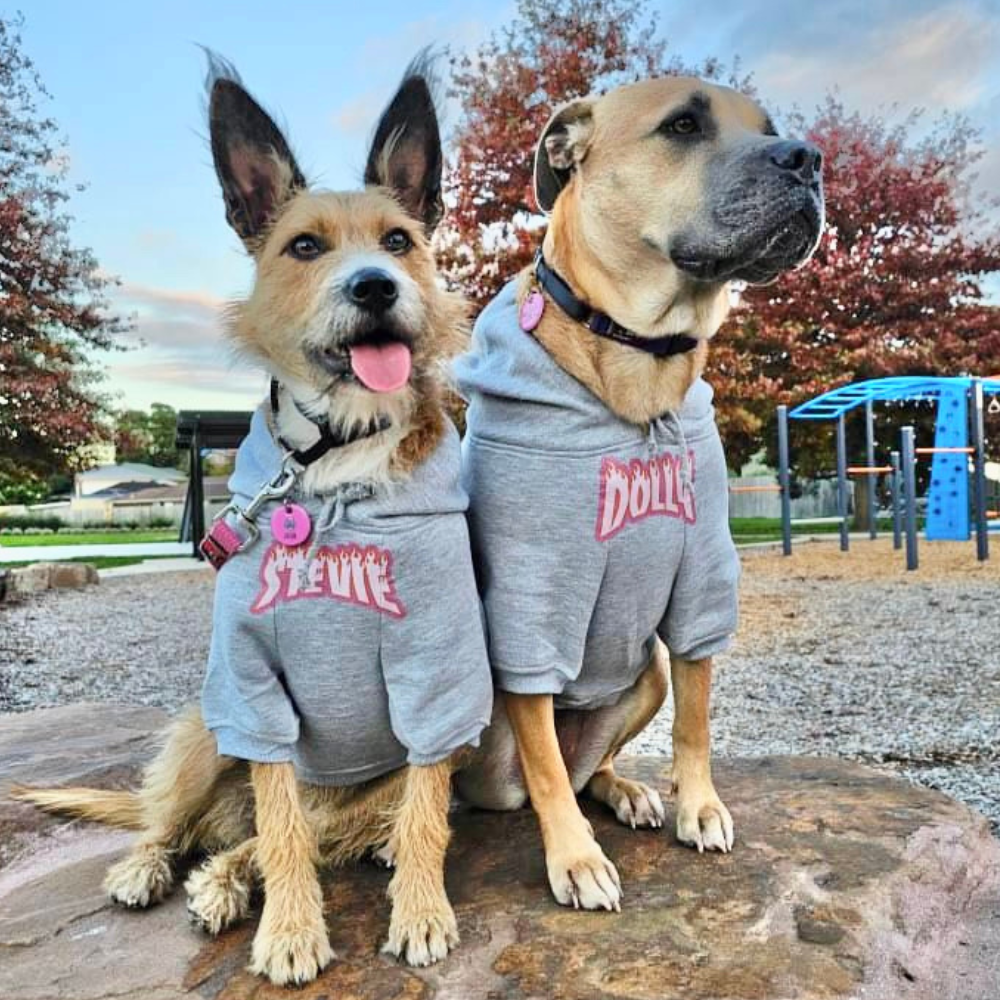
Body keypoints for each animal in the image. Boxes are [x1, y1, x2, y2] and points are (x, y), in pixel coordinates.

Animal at [14, 52, 492, 984]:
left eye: (399, 241)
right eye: (304, 246)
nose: (375, 287)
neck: (338, 456)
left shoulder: (439, 677)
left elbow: (417, 812)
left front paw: (420, 908)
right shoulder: (253, 683)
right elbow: (278, 818)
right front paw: (293, 931)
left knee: (314, 827)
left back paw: (233, 875)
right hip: (209, 726)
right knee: (195, 821)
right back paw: (164, 869)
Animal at [458, 74, 824, 912]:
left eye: (770, 128)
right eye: (683, 125)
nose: (808, 159)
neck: (638, 354)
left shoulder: (703, 574)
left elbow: (697, 713)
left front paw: (701, 804)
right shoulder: (531, 592)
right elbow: (544, 760)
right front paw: (574, 858)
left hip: (643, 676)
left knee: (591, 767)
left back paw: (626, 791)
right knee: (546, 772)